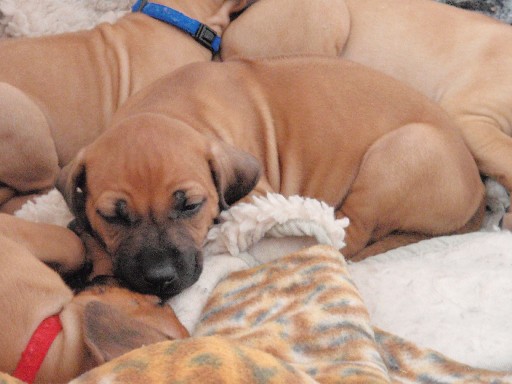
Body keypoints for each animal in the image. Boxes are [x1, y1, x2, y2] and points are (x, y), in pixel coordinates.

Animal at [58, 56, 486, 296]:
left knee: (348, 237)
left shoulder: (257, 193)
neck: (171, 109)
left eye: (191, 206)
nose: (161, 279)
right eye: (112, 216)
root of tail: (480, 193)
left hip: (399, 155)